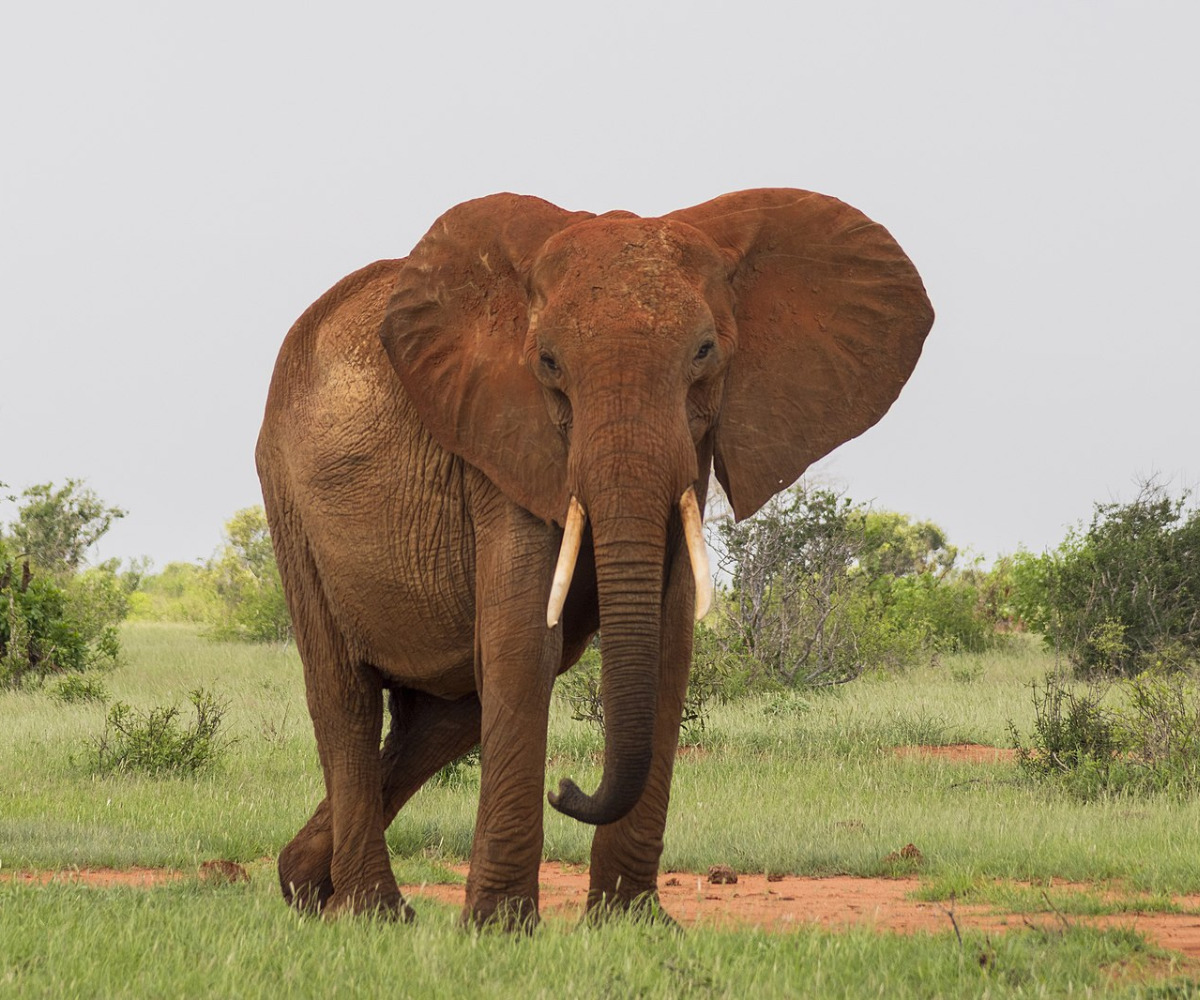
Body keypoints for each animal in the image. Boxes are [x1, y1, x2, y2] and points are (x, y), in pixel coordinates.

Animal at [255, 188, 933, 928]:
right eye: (549, 363)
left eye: (705, 351)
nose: (567, 787)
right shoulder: (501, 440)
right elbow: (526, 642)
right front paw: (499, 930)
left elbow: (666, 644)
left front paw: (632, 925)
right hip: (288, 496)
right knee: (345, 696)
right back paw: (371, 913)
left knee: (443, 718)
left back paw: (304, 885)